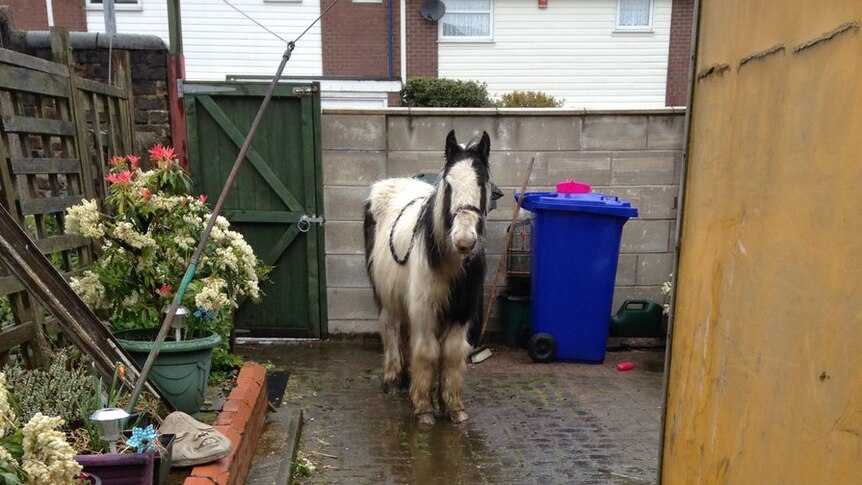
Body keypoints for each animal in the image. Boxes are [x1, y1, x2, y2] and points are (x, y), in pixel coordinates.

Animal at [362, 130, 490, 426]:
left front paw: (453, 407)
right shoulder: (425, 311)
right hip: (388, 298)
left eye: (482, 183)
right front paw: (423, 408)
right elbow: (427, 351)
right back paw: (393, 379)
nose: (464, 241)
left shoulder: (460, 314)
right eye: (449, 184)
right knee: (391, 329)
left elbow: (452, 354)